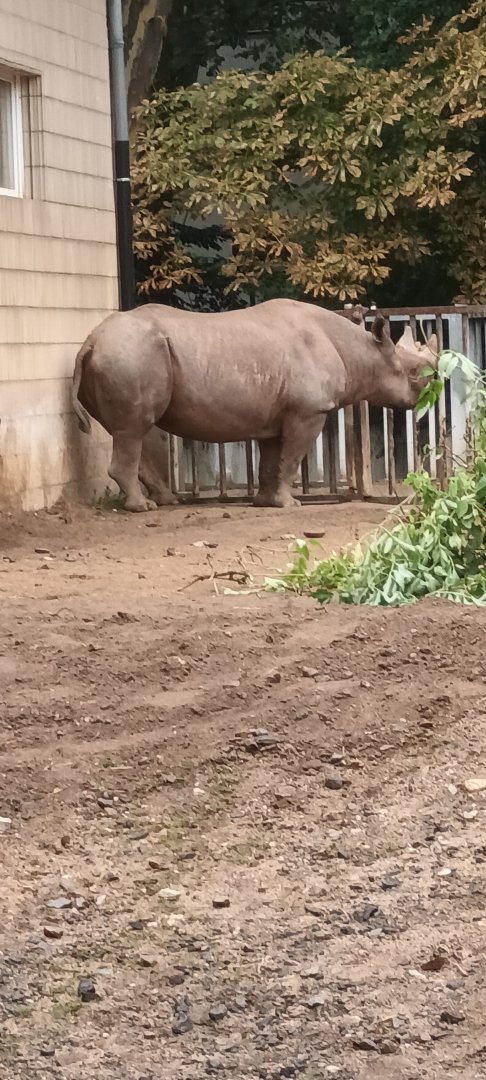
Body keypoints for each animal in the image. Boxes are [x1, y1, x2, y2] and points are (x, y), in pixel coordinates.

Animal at [72, 299, 436, 512]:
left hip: (123, 355)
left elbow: (272, 462)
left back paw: (164, 500)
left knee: (131, 429)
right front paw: (290, 504)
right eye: (412, 373)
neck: (359, 350)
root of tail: (90, 340)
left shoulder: (277, 415)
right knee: (133, 428)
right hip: (130, 354)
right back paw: (142, 508)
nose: (423, 398)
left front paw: (265, 502)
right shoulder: (309, 410)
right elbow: (292, 459)